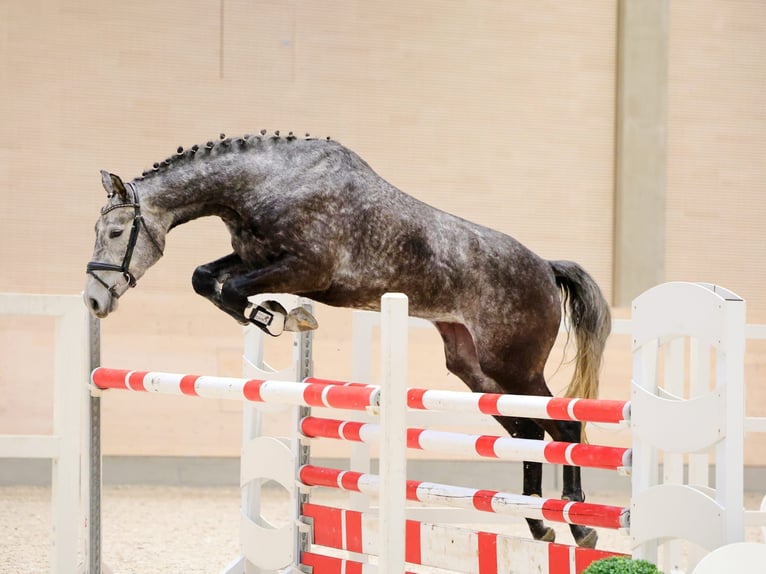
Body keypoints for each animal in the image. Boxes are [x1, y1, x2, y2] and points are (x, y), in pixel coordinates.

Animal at [85, 131, 611, 548]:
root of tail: (545, 267)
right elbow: (205, 278)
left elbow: (231, 288)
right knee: (528, 435)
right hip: (475, 370)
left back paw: (580, 526)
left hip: (515, 367)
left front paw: (280, 316)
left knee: (564, 428)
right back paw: (538, 525)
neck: (269, 183)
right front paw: (277, 314)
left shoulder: (306, 268)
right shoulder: (254, 258)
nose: (93, 300)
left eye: (116, 231)